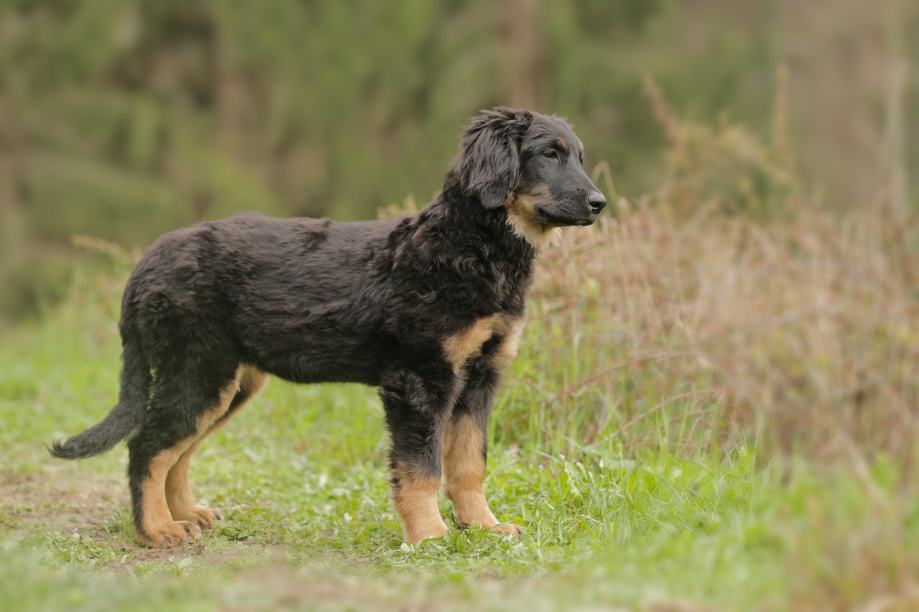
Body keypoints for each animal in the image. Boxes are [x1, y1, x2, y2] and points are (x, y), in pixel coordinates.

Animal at [50, 107, 607, 548]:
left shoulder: (479, 378)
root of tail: (147, 260)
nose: (600, 203)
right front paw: (429, 537)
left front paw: (484, 528)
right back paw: (157, 530)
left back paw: (185, 514)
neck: (468, 246)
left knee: (176, 450)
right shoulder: (419, 379)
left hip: (228, 381)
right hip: (197, 371)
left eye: (579, 156)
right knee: (148, 446)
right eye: (549, 154)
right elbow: (422, 468)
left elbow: (469, 464)